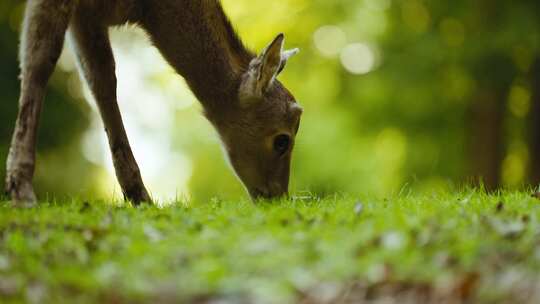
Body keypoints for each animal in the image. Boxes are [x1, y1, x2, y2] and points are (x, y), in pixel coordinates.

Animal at [6, 0, 304, 207]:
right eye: (282, 140)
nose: (278, 196)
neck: (148, 9)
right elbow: (40, 57)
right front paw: (20, 188)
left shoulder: (88, 16)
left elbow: (102, 79)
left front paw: (139, 196)